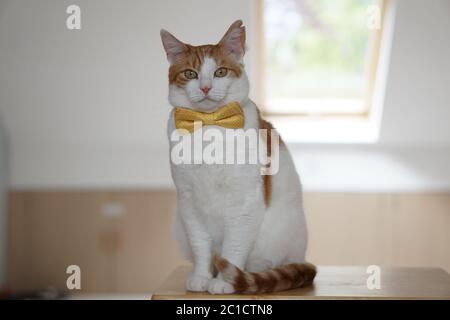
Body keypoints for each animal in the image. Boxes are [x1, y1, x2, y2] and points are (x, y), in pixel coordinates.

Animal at [160, 20, 314, 296]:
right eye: (190, 74)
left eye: (220, 72)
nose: (206, 87)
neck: (209, 125)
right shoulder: (188, 204)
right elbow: (201, 246)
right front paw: (202, 276)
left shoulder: (244, 203)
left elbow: (233, 248)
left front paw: (225, 281)